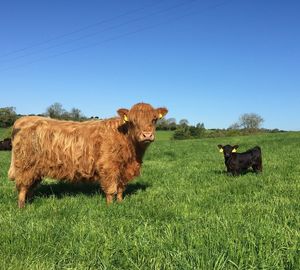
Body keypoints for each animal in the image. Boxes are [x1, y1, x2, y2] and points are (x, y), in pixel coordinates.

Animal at [8, 102, 168, 208]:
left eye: (154, 119)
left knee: (29, 187)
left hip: (35, 168)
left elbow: (120, 188)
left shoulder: (123, 169)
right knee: (22, 187)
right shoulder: (108, 167)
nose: (147, 135)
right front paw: (110, 207)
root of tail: (23, 119)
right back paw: (22, 207)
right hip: (25, 165)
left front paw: (121, 203)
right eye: (133, 121)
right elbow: (111, 189)